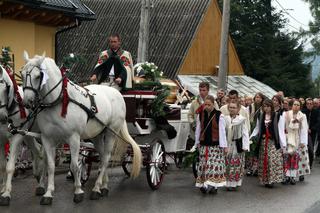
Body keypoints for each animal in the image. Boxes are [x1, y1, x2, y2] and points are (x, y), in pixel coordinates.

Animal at [0, 65, 46, 206]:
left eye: (6, 88)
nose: (2, 117)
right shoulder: (0, 139)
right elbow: (2, 166)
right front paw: (2, 189)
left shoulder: (16, 137)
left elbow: (10, 166)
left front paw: (6, 194)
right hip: (28, 135)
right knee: (38, 152)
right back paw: (37, 175)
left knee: (46, 156)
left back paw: (41, 184)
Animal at [21, 52, 141, 205]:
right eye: (22, 74)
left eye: (38, 76)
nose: (27, 102)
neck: (59, 101)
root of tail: (115, 91)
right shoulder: (47, 138)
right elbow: (50, 166)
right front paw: (48, 193)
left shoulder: (73, 138)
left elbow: (74, 166)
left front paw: (78, 191)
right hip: (97, 135)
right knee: (102, 157)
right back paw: (104, 186)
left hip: (111, 133)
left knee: (106, 158)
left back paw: (96, 189)